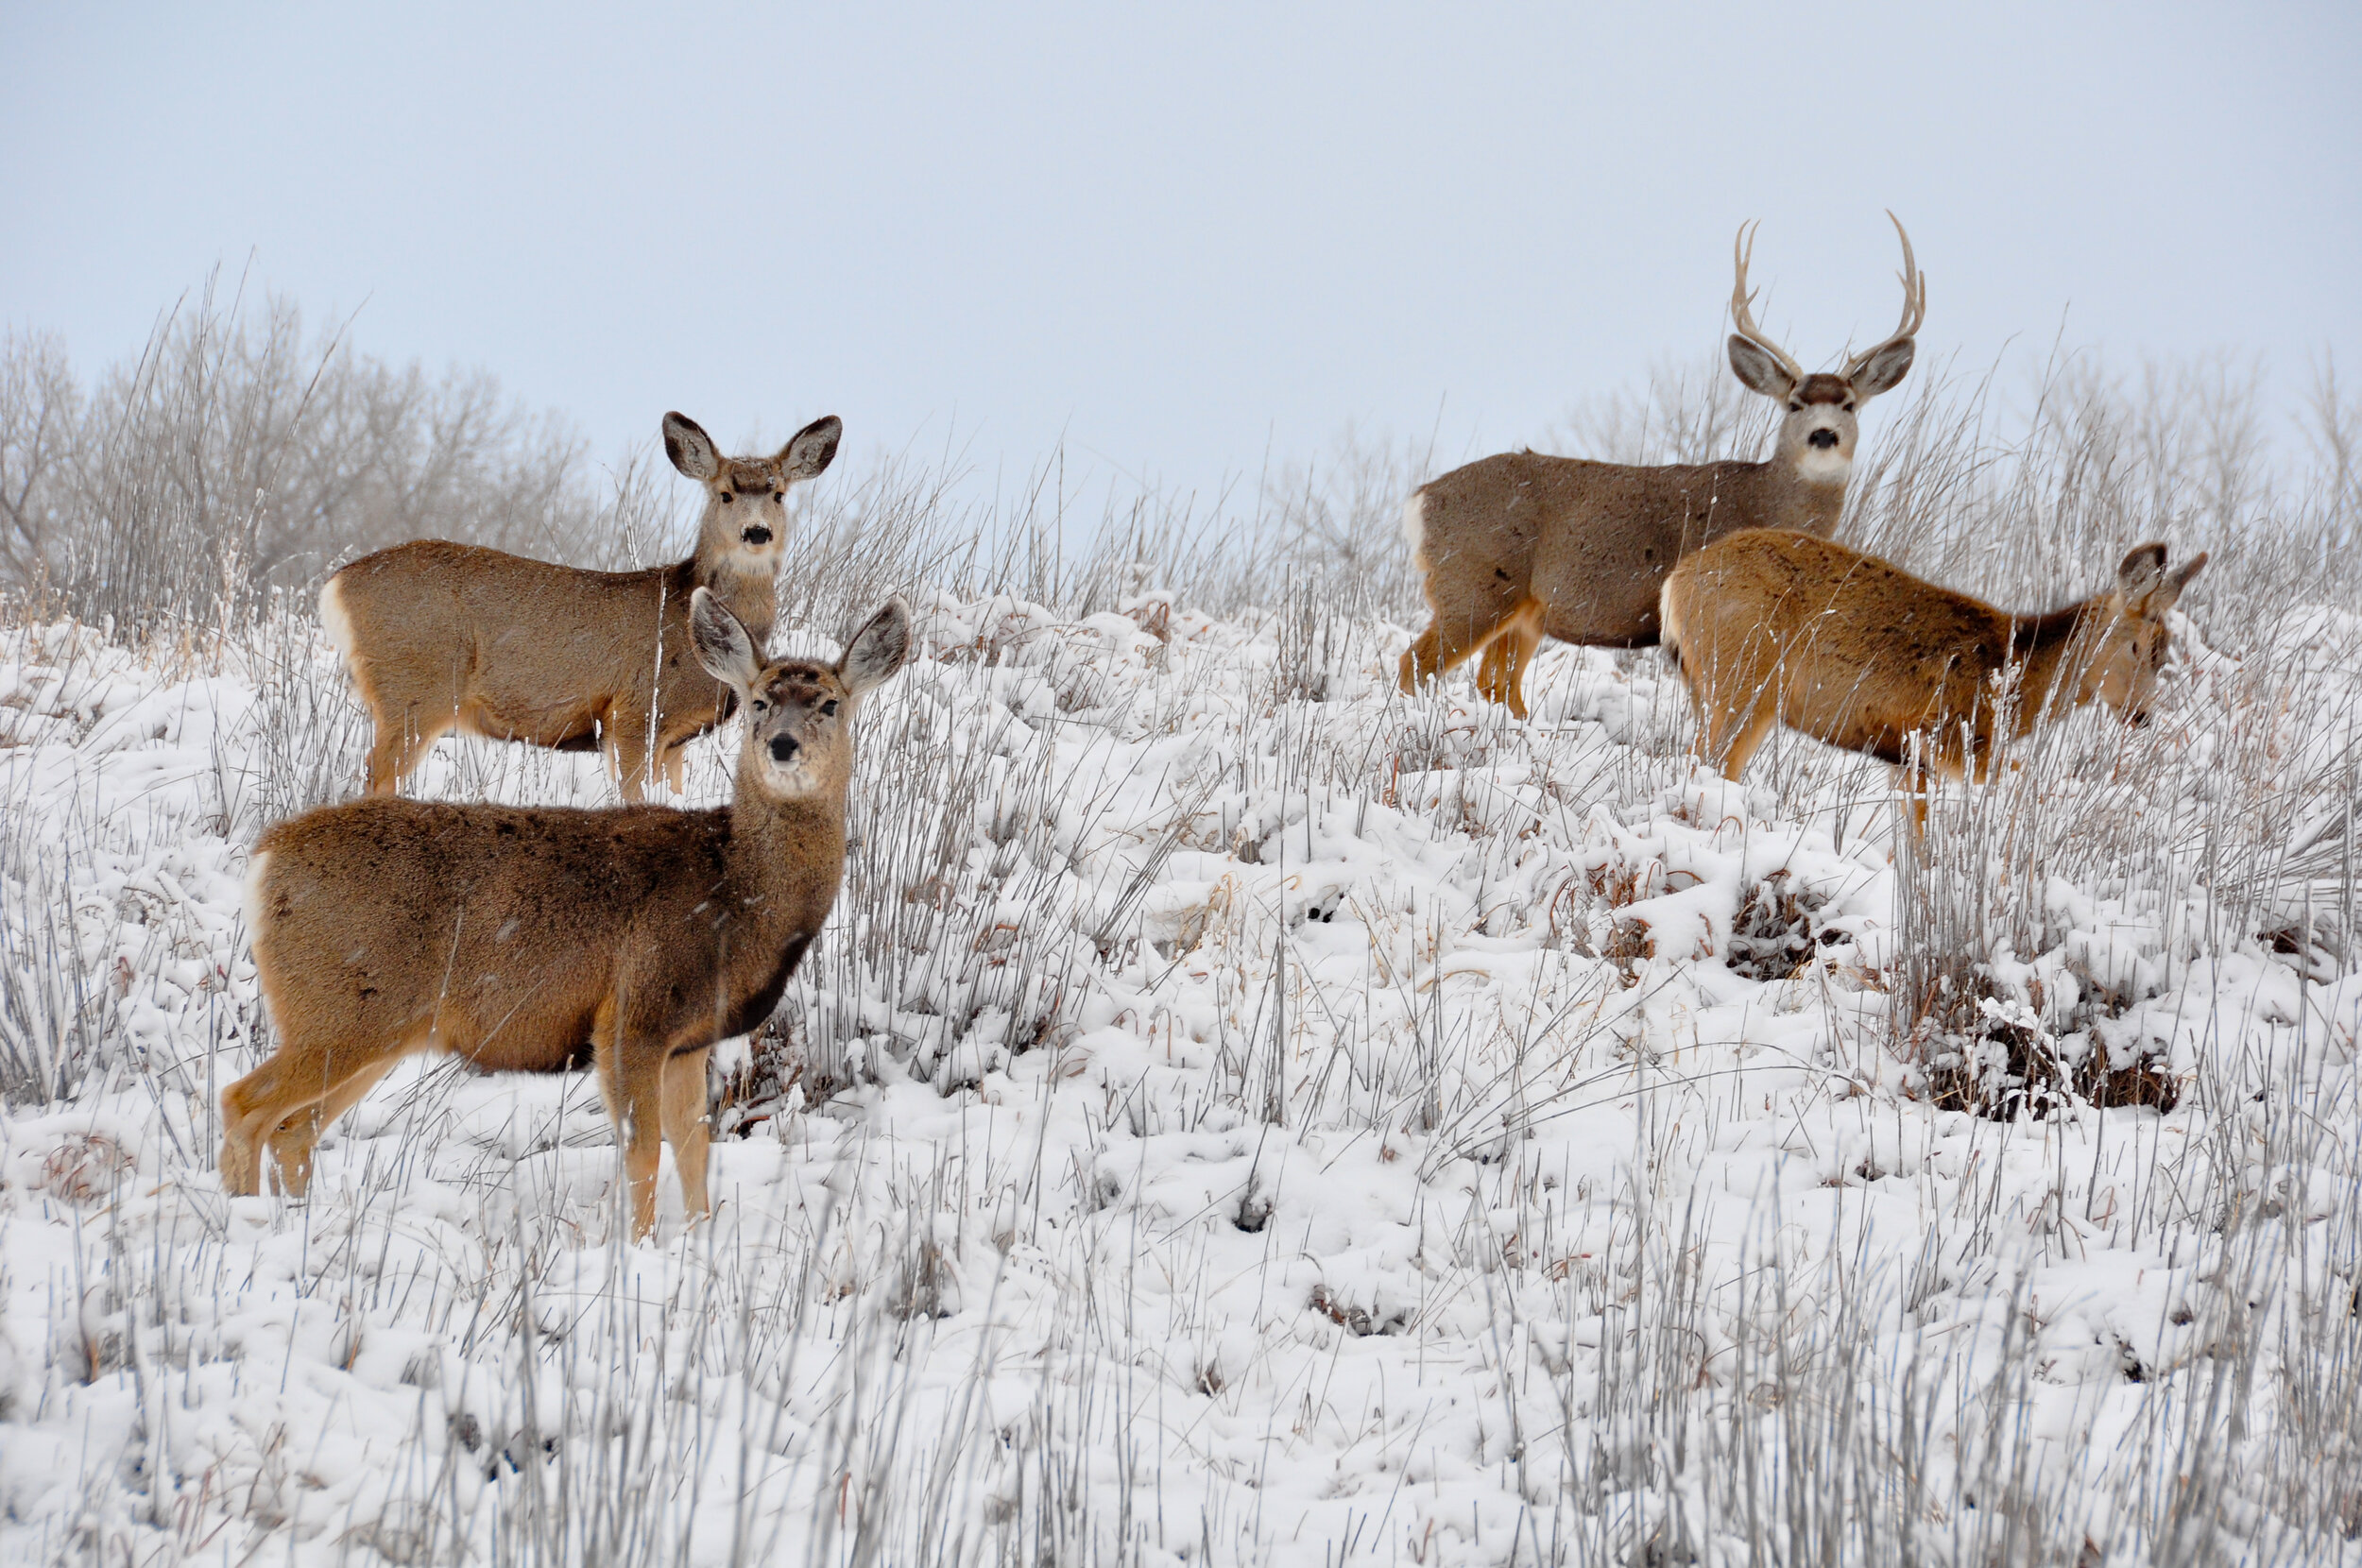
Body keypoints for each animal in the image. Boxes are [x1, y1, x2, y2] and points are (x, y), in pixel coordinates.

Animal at [221, 588, 912, 1241]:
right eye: (760, 703)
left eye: (830, 704)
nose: (783, 745)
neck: (734, 891)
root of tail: (264, 862)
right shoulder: (633, 1016)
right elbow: (642, 1151)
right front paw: (638, 1250)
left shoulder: (689, 1040)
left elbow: (694, 1147)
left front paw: (698, 1241)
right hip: (340, 1012)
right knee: (244, 1104)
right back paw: (246, 1220)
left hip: (374, 1026)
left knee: (293, 1129)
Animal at [321, 410, 843, 800]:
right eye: (725, 493)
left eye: (779, 493)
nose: (757, 532)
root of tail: (335, 586)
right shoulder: (634, 714)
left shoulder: (677, 739)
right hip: (414, 688)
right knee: (377, 777)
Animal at [1397, 214, 1927, 719]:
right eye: (1795, 404)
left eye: (1849, 405)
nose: (1823, 435)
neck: (1768, 506)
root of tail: (1420, 500)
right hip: (1475, 586)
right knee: (1416, 664)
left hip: (1523, 613)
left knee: (1497, 685)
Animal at [1658, 528, 2206, 820]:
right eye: (2139, 647)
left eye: (2165, 655)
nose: (2142, 715)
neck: (2014, 675)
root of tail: (1675, 581)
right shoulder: (1951, 738)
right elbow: (2024, 782)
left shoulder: (1909, 760)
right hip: (1743, 680)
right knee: (1707, 766)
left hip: (1718, 689)